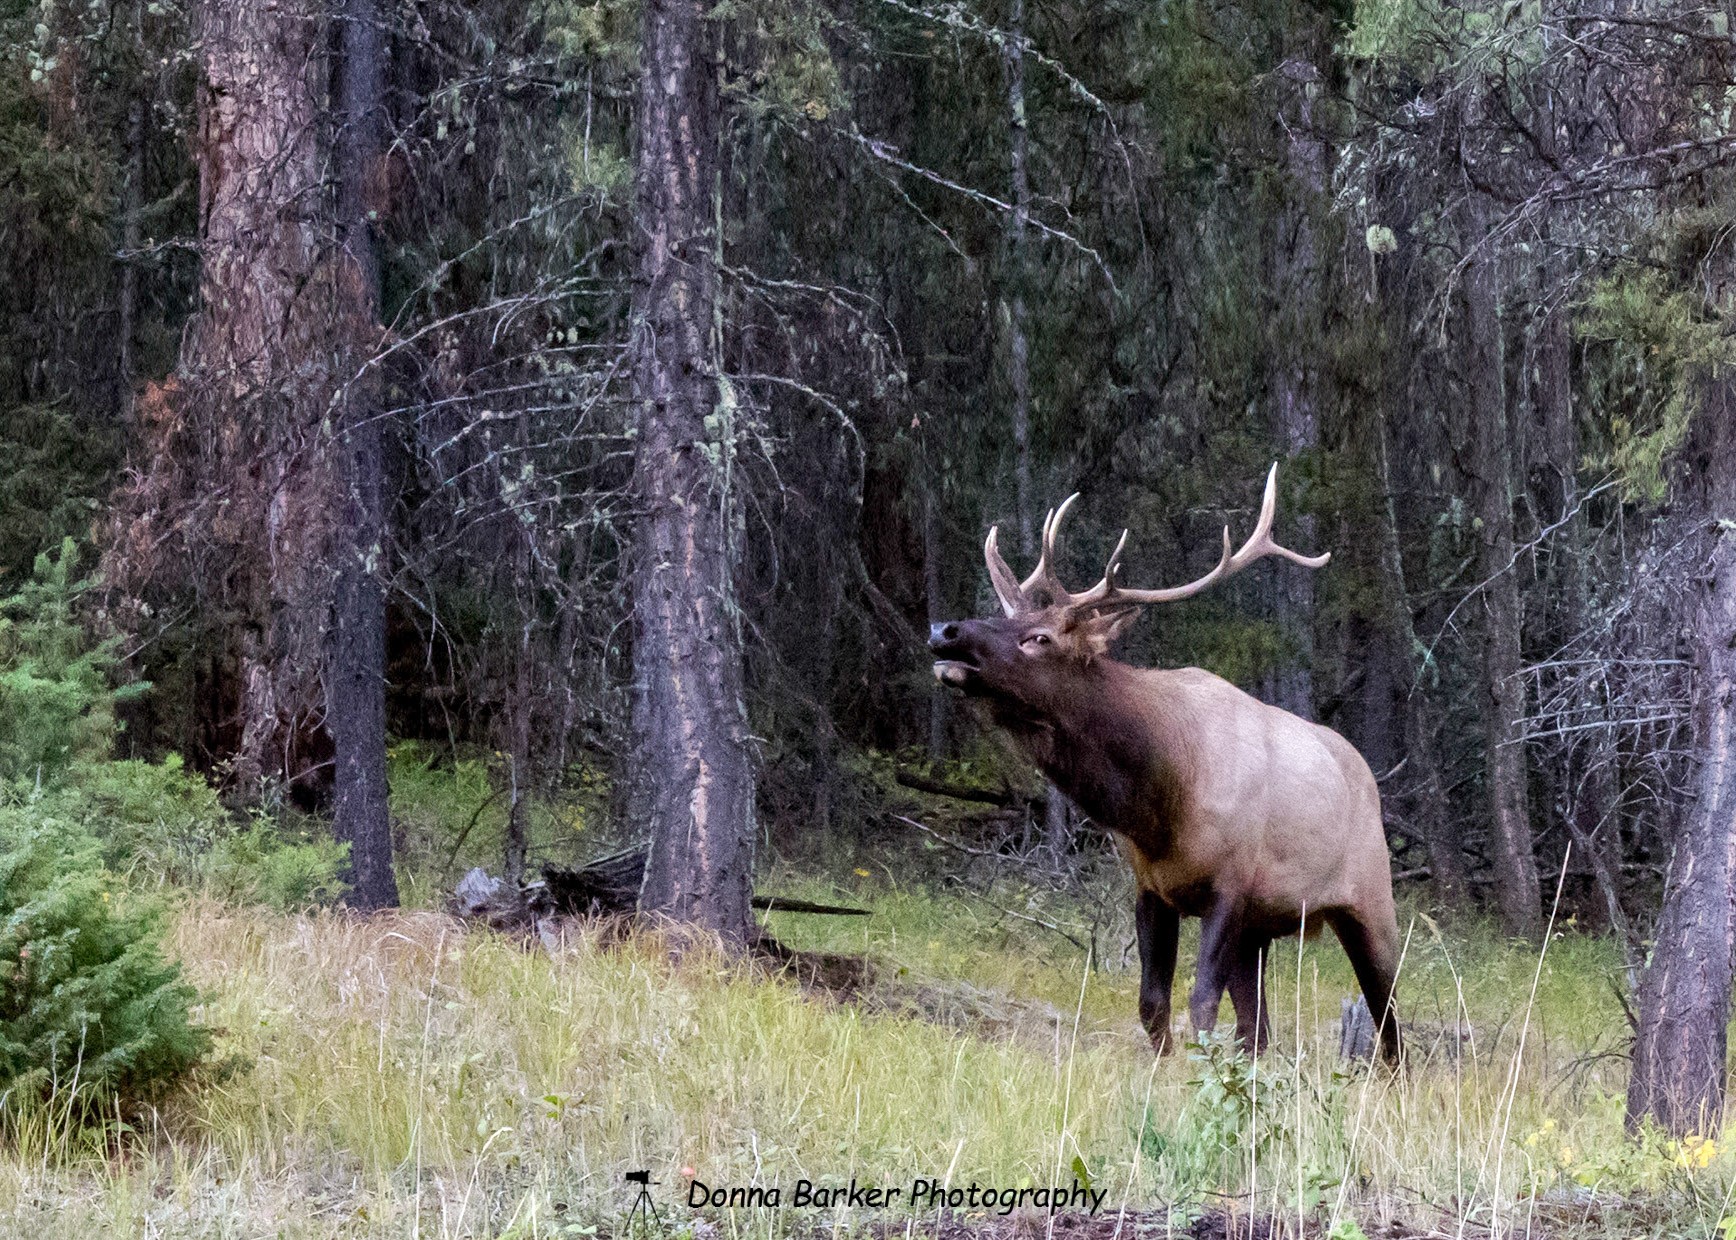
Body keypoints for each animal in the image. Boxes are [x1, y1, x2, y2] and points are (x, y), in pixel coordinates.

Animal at [929, 466, 1402, 1064]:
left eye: (1040, 637)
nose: (944, 631)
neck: (1161, 799)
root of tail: (1365, 773)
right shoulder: (1153, 887)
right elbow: (1153, 1004)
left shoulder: (1232, 884)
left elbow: (1200, 1004)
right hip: (1261, 931)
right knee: (1260, 1029)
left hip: (1371, 899)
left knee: (1390, 1019)